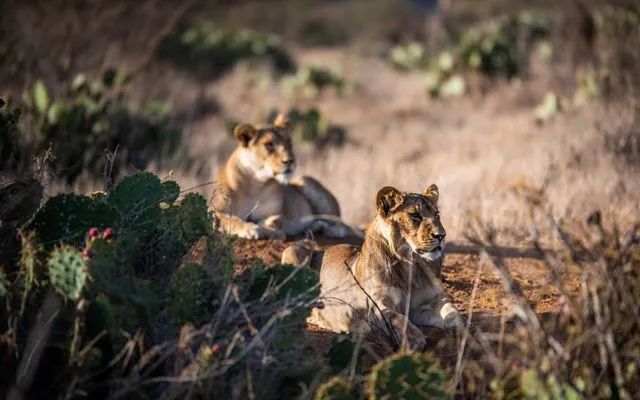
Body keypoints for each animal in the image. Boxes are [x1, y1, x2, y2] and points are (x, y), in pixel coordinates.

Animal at [212, 116, 358, 240]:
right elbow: (227, 219)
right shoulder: (214, 209)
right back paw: (314, 227)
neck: (255, 184)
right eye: (269, 145)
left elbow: (275, 219)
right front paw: (249, 229)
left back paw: (331, 230)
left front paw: (270, 229)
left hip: (305, 181)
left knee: (343, 225)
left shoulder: (275, 212)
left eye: (288, 142)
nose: (290, 161)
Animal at [282, 184, 461, 349]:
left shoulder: (429, 302)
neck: (411, 265)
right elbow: (396, 317)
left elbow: (452, 311)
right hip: (294, 250)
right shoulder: (376, 306)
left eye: (437, 215)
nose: (442, 236)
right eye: (415, 215)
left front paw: (461, 329)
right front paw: (413, 337)